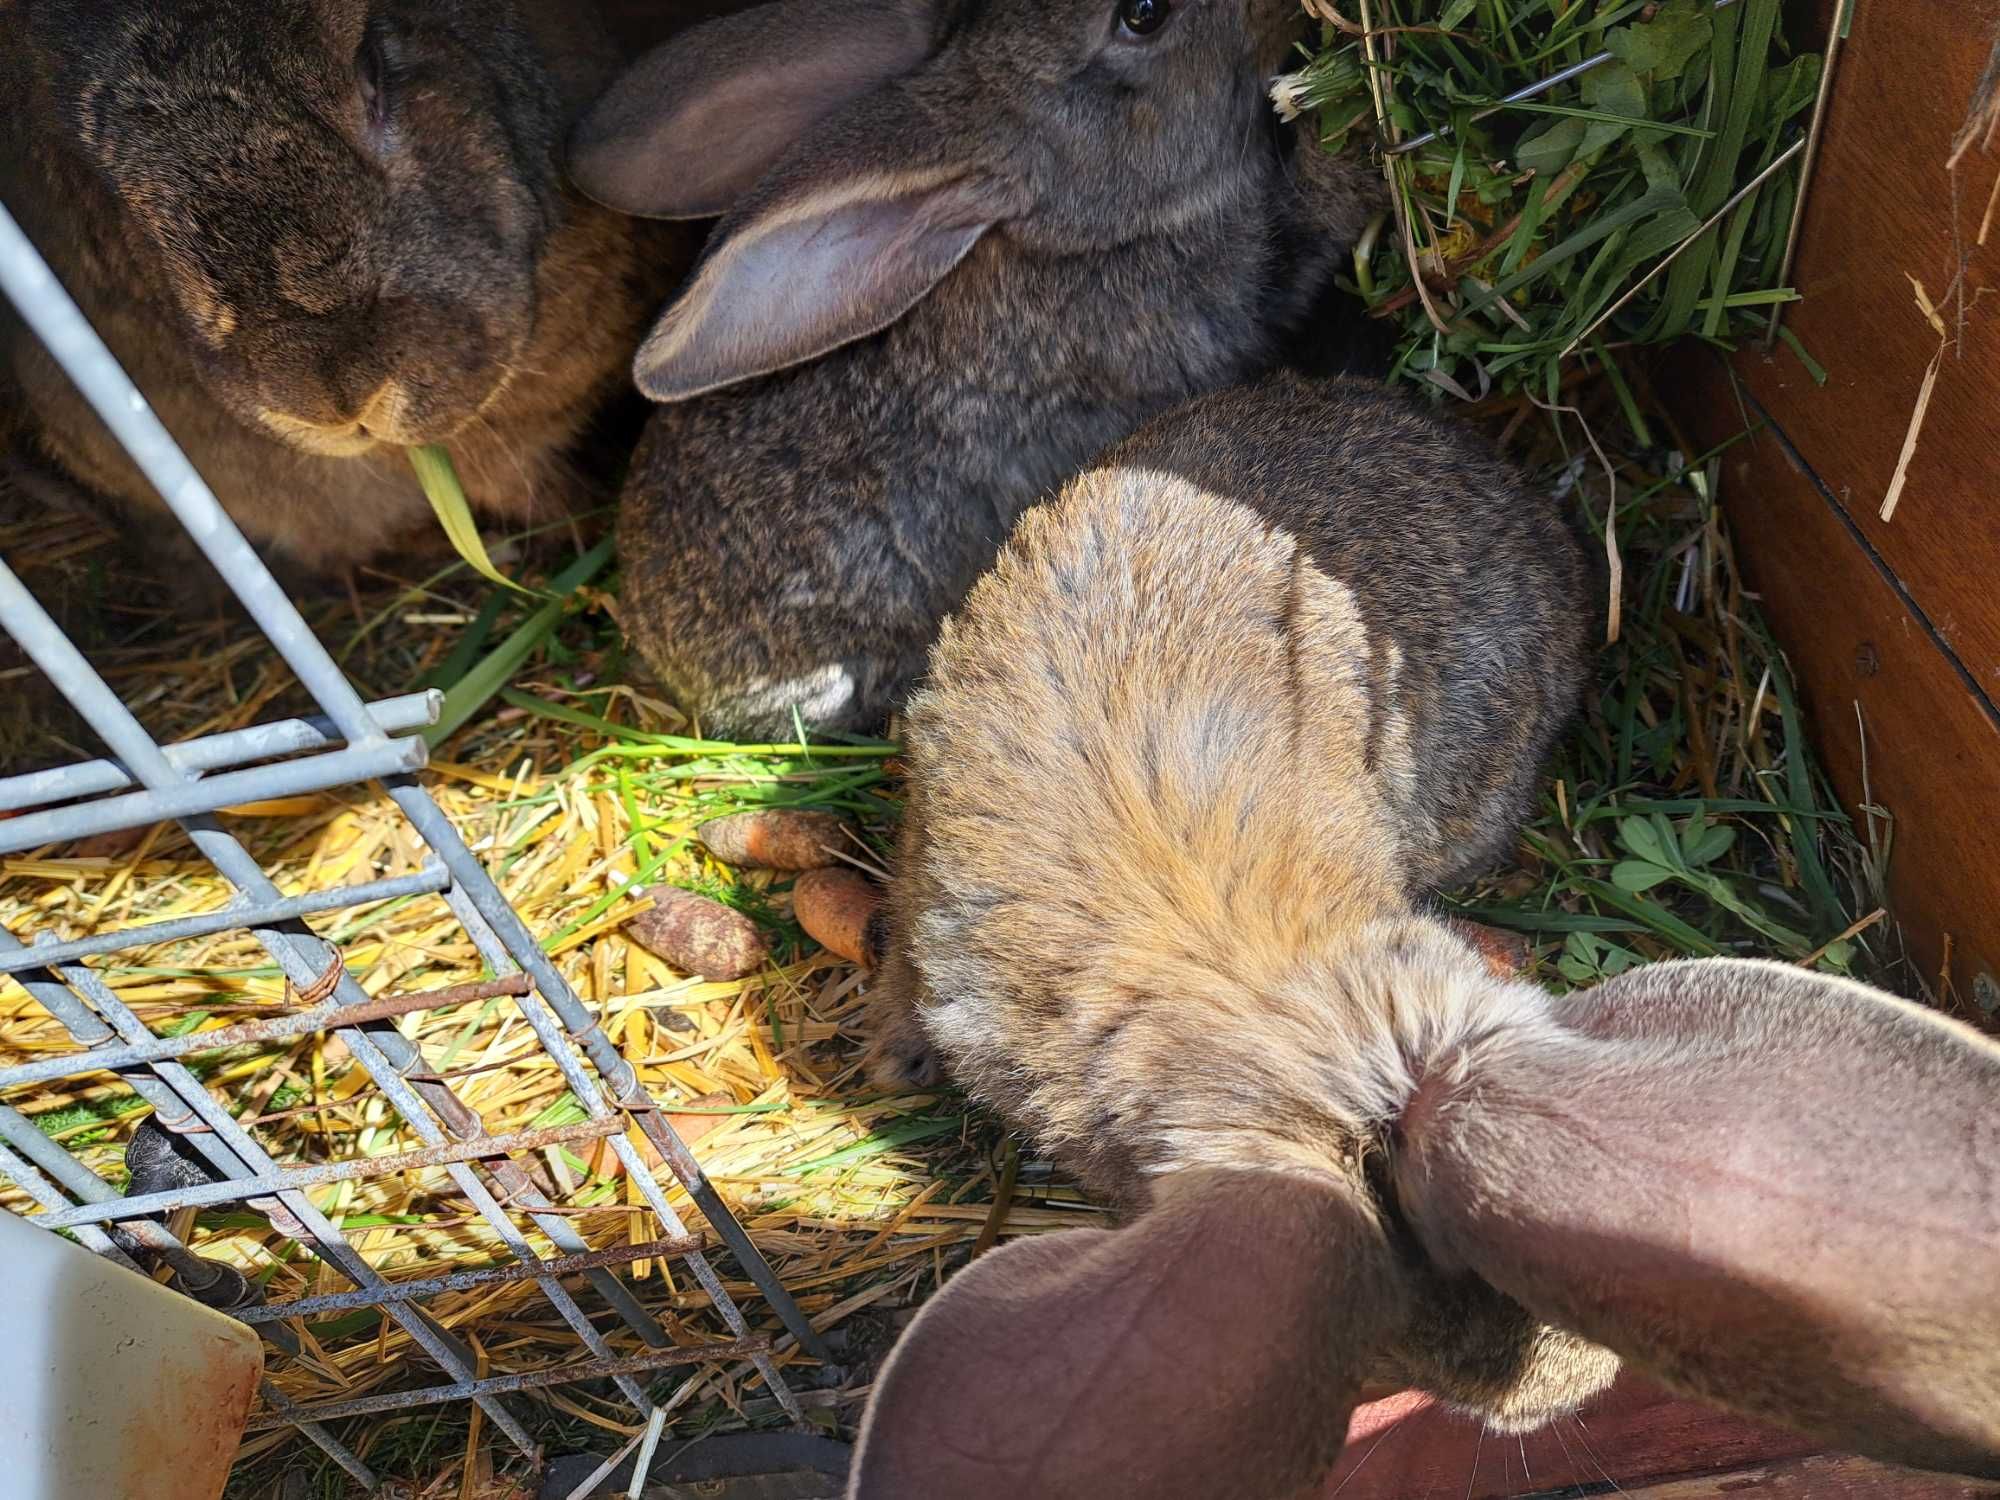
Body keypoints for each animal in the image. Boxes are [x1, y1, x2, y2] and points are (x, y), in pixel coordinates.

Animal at [564, 0, 1376, 740]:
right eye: (1142, 13)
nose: (1277, 10)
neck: (1078, 228)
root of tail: (650, 642)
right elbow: (1305, 240)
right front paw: (1352, 151)